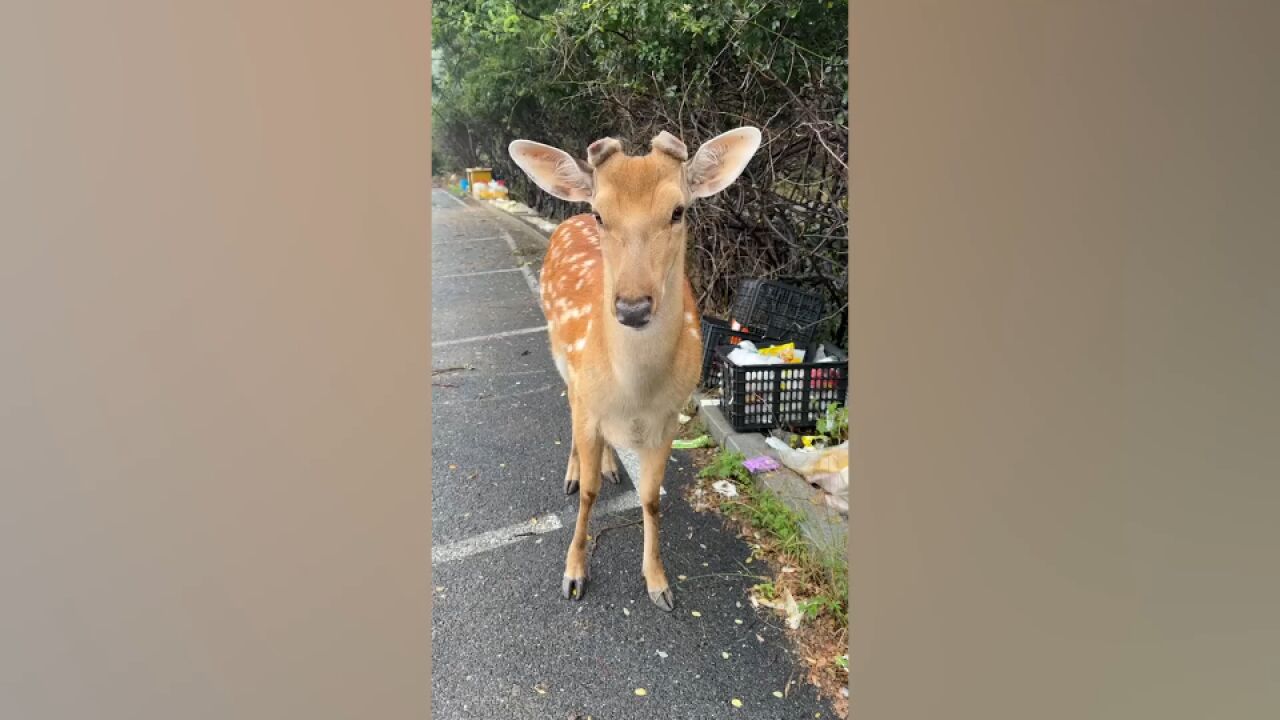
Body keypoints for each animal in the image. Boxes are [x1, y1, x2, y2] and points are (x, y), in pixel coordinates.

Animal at [509, 126, 762, 607]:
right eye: (601, 213)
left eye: (678, 210)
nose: (632, 307)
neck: (635, 391)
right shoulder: (589, 400)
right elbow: (590, 494)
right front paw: (574, 574)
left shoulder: (668, 418)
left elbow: (651, 498)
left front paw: (659, 583)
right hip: (562, 360)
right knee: (568, 409)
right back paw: (573, 473)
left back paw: (610, 465)